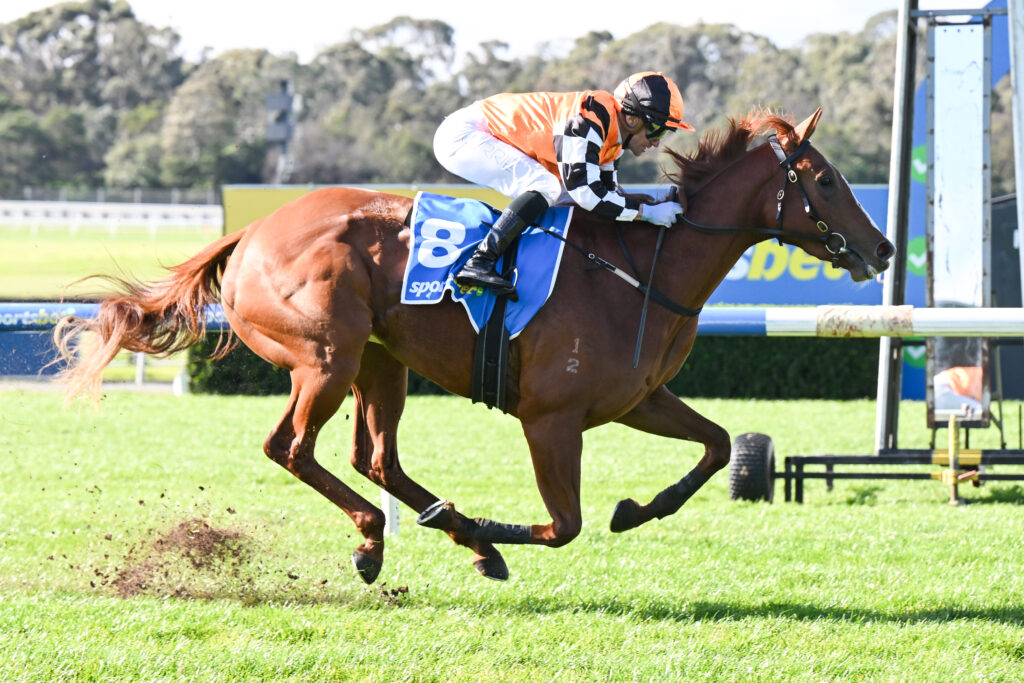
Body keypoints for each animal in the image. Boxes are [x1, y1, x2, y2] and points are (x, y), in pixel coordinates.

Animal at [55, 108, 895, 584]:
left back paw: (432, 531)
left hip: (381, 361)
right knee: (291, 447)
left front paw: (635, 509)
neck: (643, 266)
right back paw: (388, 537)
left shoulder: (640, 397)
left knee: (374, 457)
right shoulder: (550, 418)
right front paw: (493, 529)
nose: (883, 247)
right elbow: (564, 524)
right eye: (825, 178)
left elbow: (718, 445)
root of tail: (254, 231)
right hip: (325, 358)